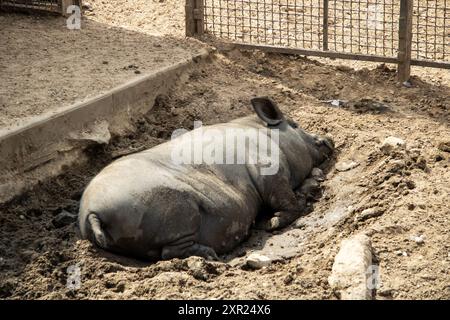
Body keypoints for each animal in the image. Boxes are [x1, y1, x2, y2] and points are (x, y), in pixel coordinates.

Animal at [78, 97, 334, 260]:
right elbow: (285, 201)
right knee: (169, 251)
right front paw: (272, 223)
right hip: (171, 208)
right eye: (295, 124)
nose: (328, 139)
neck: (265, 133)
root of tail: (92, 211)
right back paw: (210, 256)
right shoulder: (267, 170)